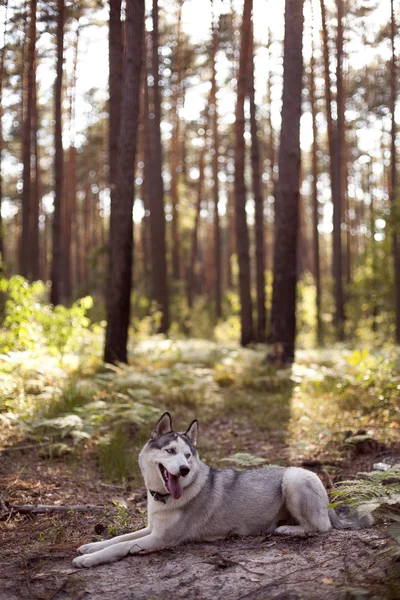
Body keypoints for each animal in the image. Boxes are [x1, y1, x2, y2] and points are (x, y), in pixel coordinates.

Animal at [72, 412, 346, 568]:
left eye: (187, 455)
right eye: (170, 451)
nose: (184, 469)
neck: (164, 498)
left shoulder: (161, 538)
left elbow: (120, 547)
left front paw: (88, 559)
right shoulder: (152, 528)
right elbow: (117, 539)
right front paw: (91, 547)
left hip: (293, 478)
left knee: (321, 526)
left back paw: (289, 529)